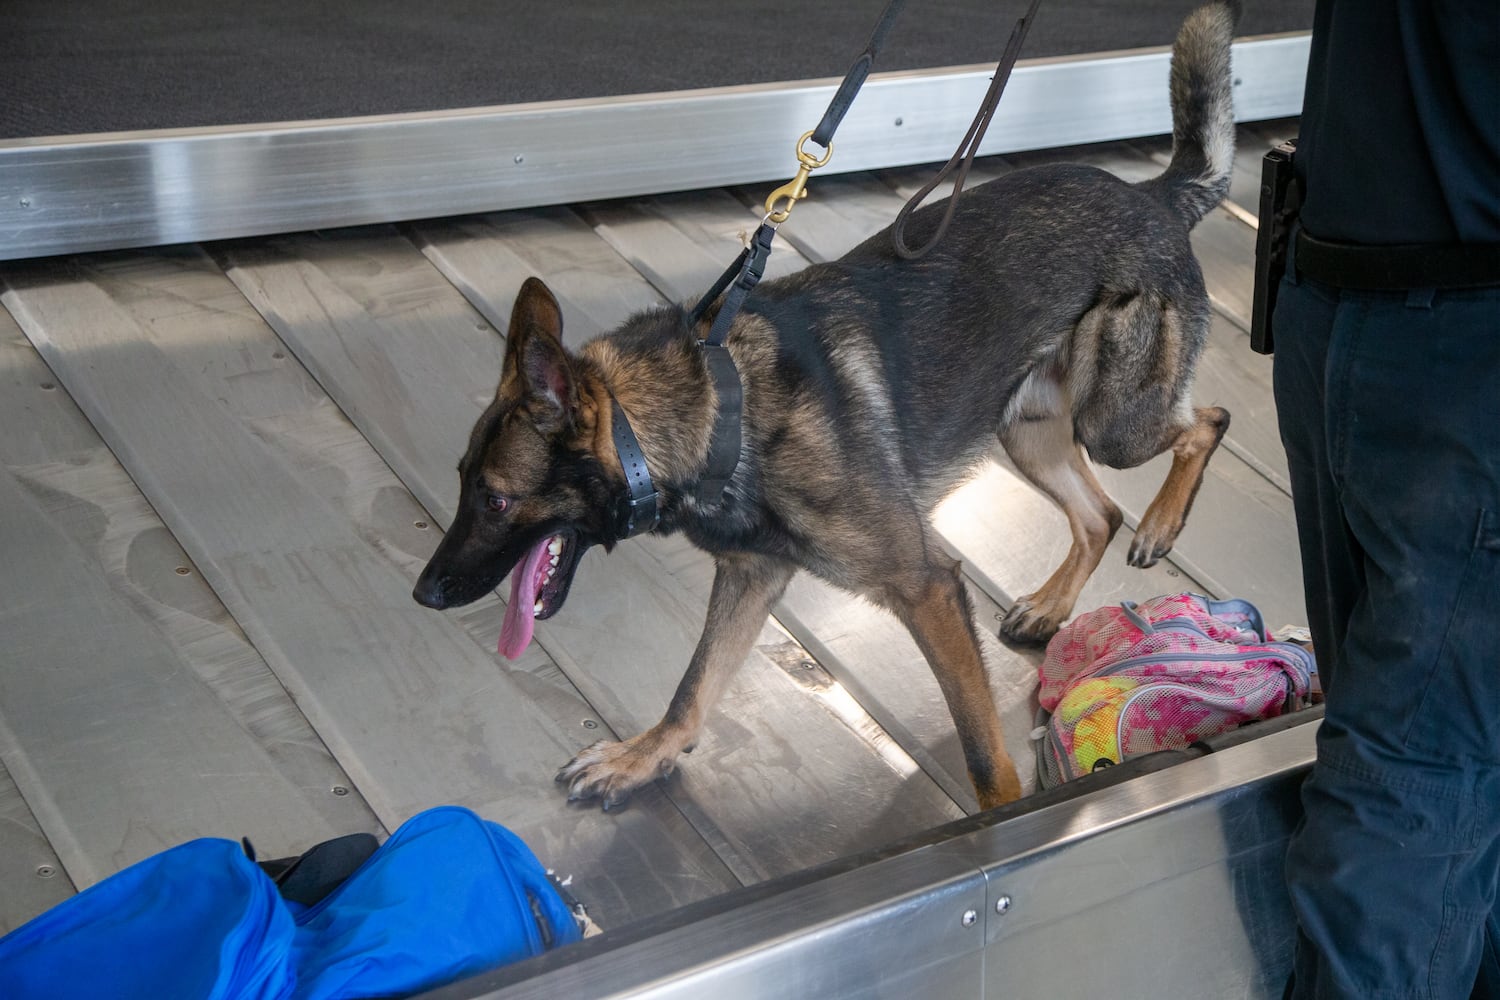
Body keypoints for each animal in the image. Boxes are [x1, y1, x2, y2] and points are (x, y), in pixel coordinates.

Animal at [414, 1, 1242, 815]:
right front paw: (644, 755)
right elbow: (694, 684)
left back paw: (1161, 523)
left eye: (494, 499)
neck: (721, 406)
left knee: (1204, 423)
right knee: (1099, 512)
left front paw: (1003, 823)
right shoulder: (752, 577)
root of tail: (1152, 193)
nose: (424, 594)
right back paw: (1052, 601)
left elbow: (982, 755)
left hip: (1113, 425)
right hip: (1028, 433)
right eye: (464, 487)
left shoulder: (928, 587)